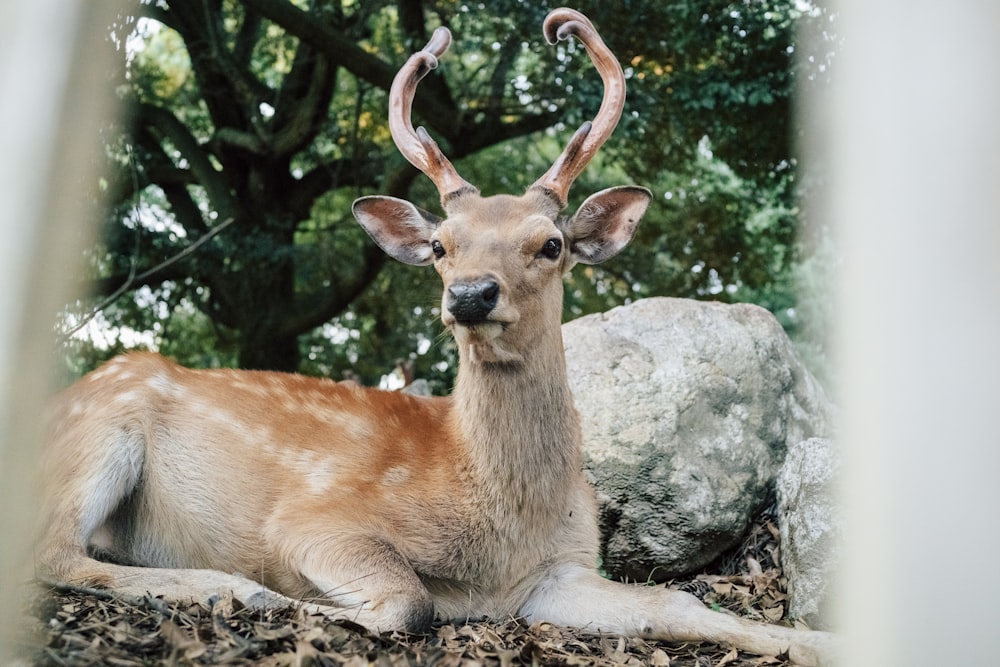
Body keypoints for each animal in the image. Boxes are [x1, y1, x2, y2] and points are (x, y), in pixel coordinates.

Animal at [35, 7, 836, 664]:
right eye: (443, 244)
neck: (500, 520)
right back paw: (233, 588)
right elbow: (407, 601)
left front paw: (818, 640)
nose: (471, 294)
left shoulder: (562, 570)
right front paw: (298, 600)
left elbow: (679, 601)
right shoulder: (315, 519)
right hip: (99, 431)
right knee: (52, 553)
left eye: (550, 243)